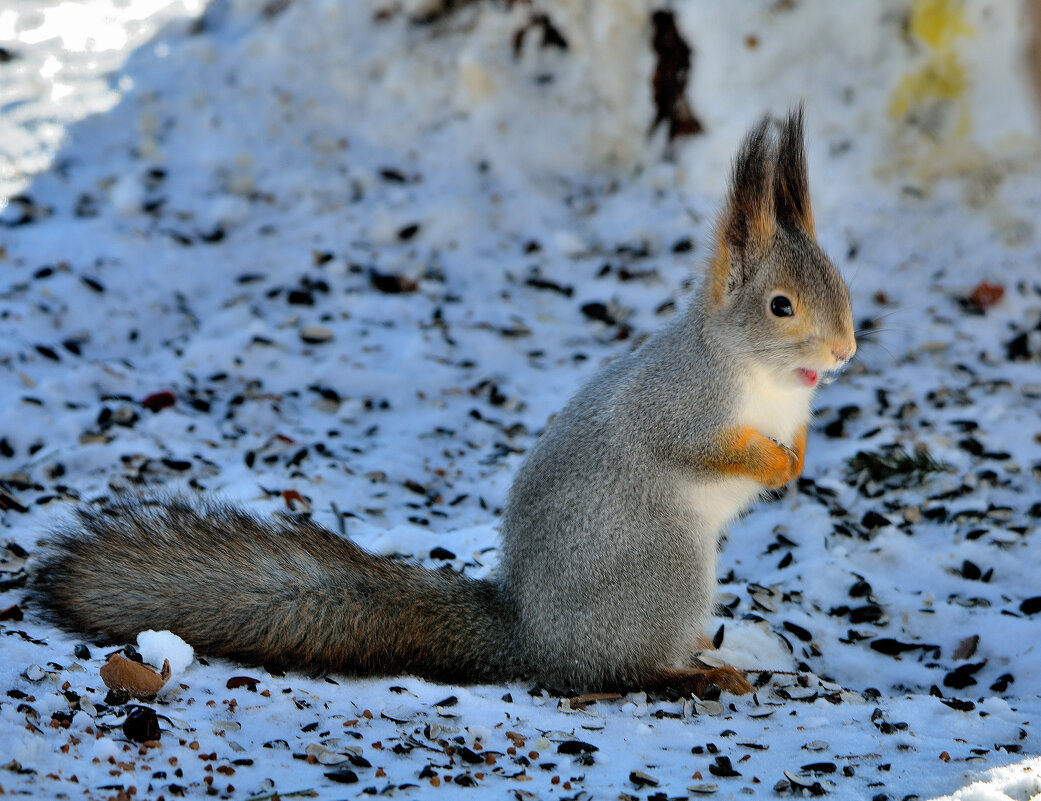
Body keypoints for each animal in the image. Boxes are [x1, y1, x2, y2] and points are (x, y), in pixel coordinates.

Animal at [30, 109, 853, 695]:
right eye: (781, 306)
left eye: (841, 285)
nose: (844, 352)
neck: (764, 379)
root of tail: (530, 637)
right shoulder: (677, 404)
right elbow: (696, 447)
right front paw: (769, 464)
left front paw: (798, 460)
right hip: (664, 572)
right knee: (610, 672)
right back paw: (688, 674)